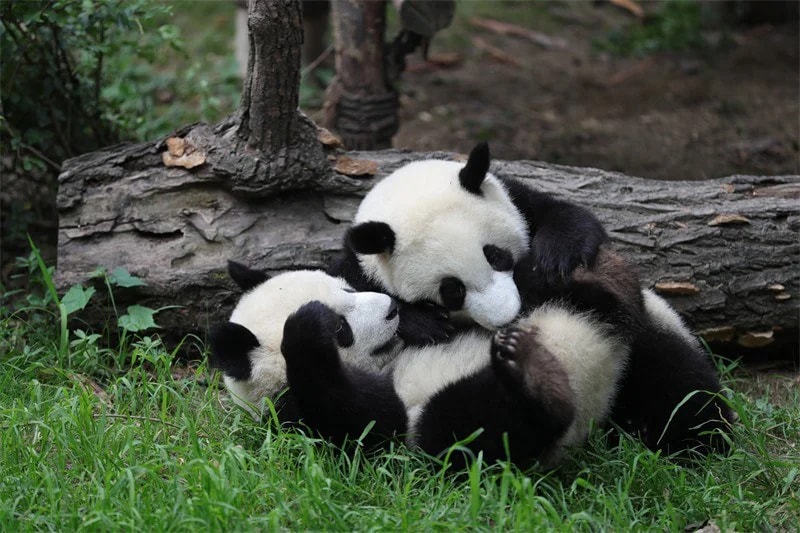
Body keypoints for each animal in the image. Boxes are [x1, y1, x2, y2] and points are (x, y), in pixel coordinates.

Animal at [210, 249, 643, 468]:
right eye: (342, 330)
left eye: (348, 289)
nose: (390, 311)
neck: (390, 362)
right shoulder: (293, 417)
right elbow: (369, 423)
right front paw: (305, 326)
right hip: (452, 424)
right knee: (472, 430)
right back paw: (538, 378)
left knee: (589, 301)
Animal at [330, 142, 734, 456]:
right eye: (452, 291)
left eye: (496, 255)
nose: (507, 316)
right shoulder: (358, 268)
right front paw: (423, 322)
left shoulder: (522, 202)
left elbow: (570, 220)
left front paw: (554, 257)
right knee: (474, 428)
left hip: (647, 335)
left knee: (674, 378)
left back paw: (696, 438)